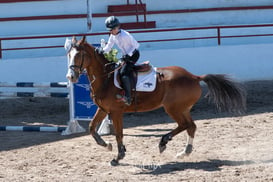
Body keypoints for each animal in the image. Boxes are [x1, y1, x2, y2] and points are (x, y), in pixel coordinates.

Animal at [65, 35, 245, 166]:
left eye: (79, 55)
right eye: (68, 55)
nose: (71, 77)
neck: (106, 79)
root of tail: (194, 76)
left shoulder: (116, 112)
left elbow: (119, 134)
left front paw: (118, 157)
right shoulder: (103, 109)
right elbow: (92, 128)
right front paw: (107, 145)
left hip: (173, 108)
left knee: (185, 125)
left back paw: (163, 142)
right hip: (183, 108)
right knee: (191, 126)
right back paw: (184, 152)